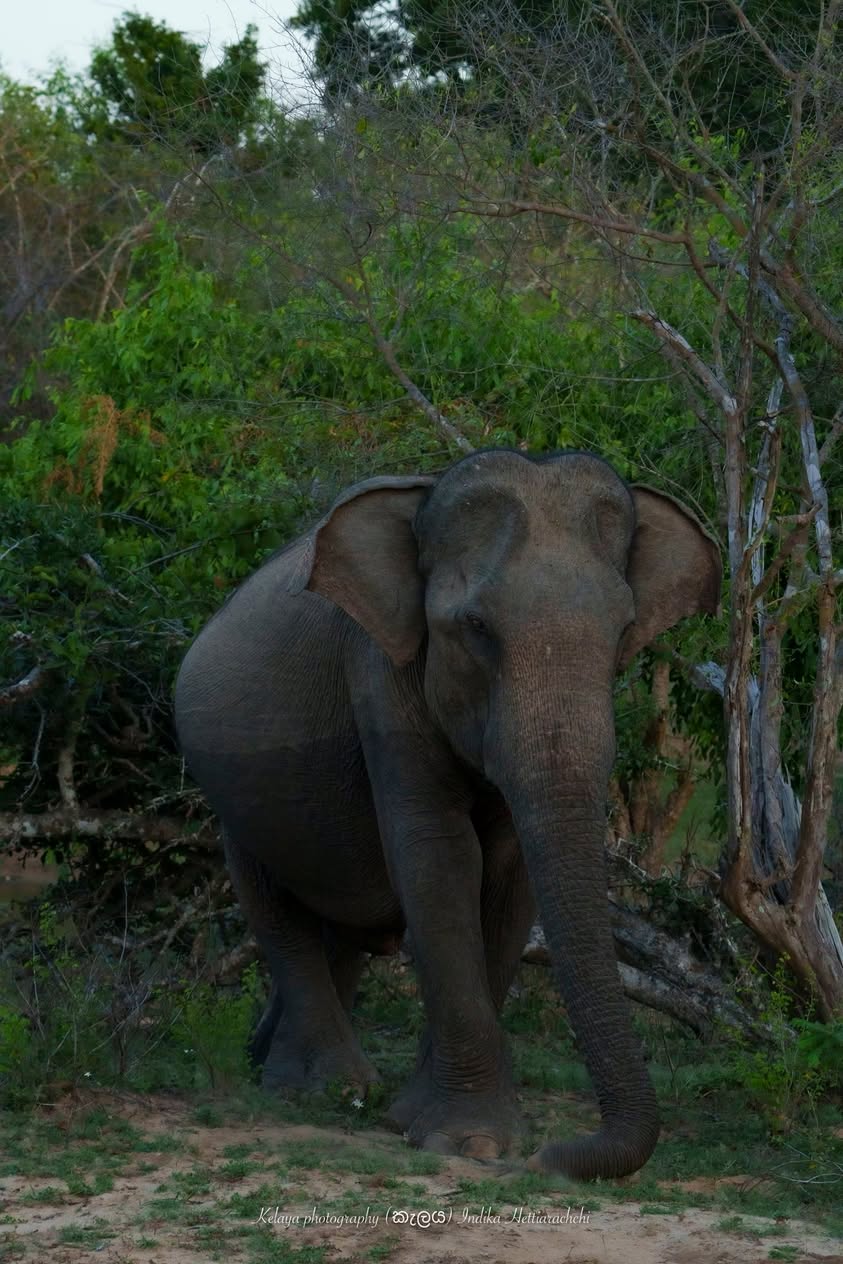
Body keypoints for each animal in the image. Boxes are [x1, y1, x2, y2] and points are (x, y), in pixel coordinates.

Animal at [174, 448, 721, 1180]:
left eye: (622, 630)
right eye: (476, 629)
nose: (552, 1155)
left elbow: (508, 876)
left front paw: (425, 1122)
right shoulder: (380, 671)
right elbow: (439, 855)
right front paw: (469, 1142)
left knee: (340, 932)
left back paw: (285, 1068)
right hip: (231, 792)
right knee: (276, 911)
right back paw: (325, 1088)